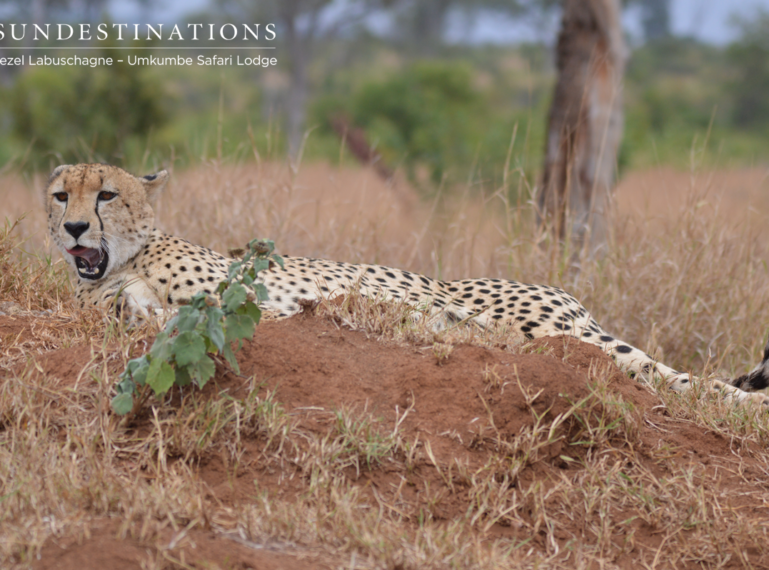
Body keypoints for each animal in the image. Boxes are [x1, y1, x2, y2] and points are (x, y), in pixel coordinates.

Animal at [45, 162, 768, 406]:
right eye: (60, 194)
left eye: (106, 193)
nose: (76, 226)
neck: (130, 259)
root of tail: (572, 300)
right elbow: (133, 311)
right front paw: (135, 311)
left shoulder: (251, 294)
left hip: (550, 326)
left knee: (676, 377)